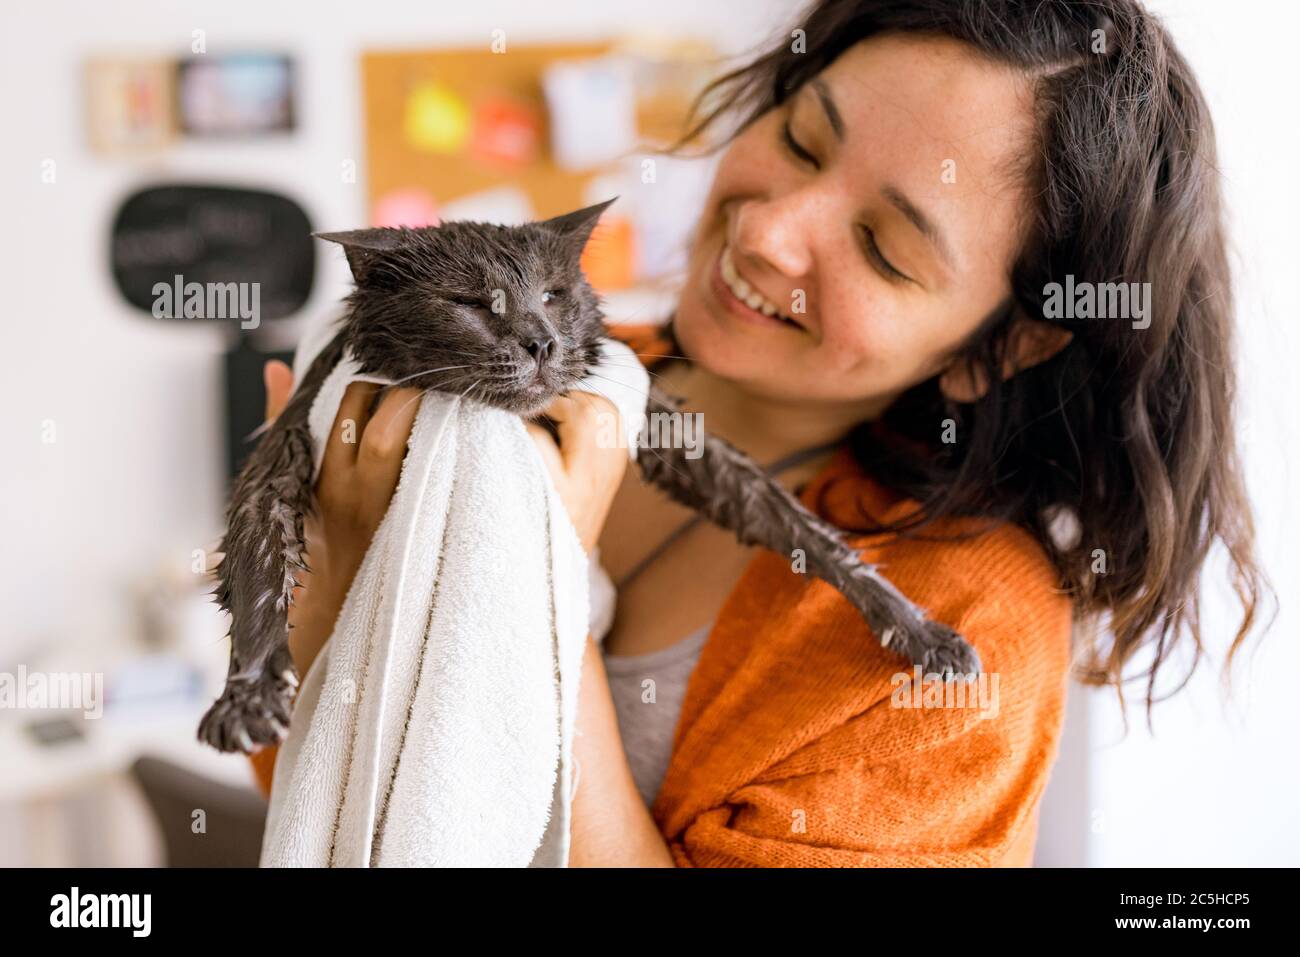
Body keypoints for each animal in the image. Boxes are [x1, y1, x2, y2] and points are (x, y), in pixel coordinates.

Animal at [197, 200, 977, 754]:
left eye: (553, 293)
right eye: (473, 304)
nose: (541, 342)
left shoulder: (658, 423)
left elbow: (788, 516)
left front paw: (915, 625)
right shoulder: (292, 437)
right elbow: (259, 556)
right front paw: (248, 691)